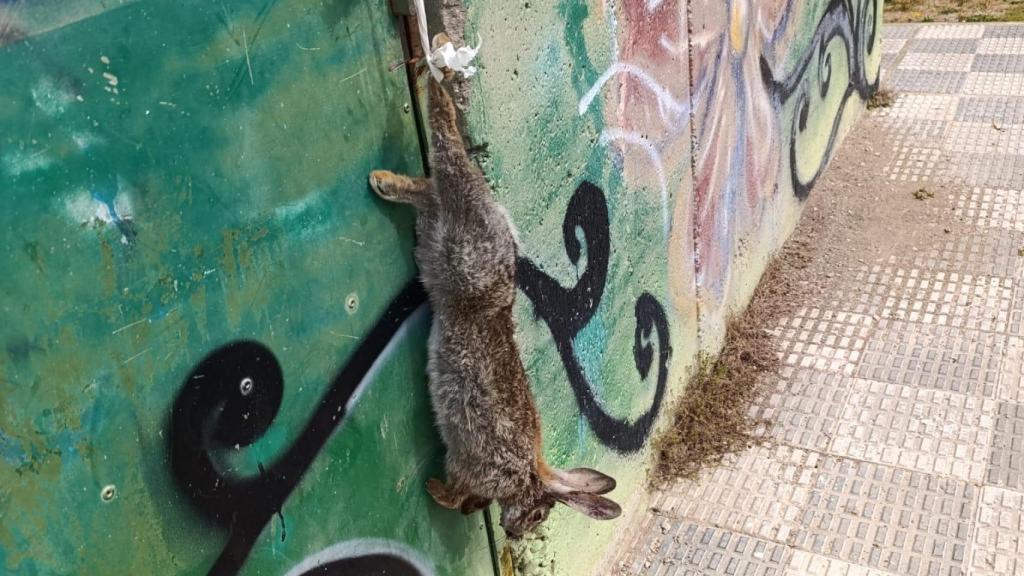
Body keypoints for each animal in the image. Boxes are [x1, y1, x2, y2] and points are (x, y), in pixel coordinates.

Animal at [368, 33, 621, 539]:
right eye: (540, 513)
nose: (515, 531)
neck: (525, 474)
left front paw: (445, 496)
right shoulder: (479, 465)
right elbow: (455, 490)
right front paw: (435, 491)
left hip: (444, 241)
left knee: (431, 190)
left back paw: (385, 180)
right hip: (465, 252)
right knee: (447, 147)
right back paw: (437, 66)